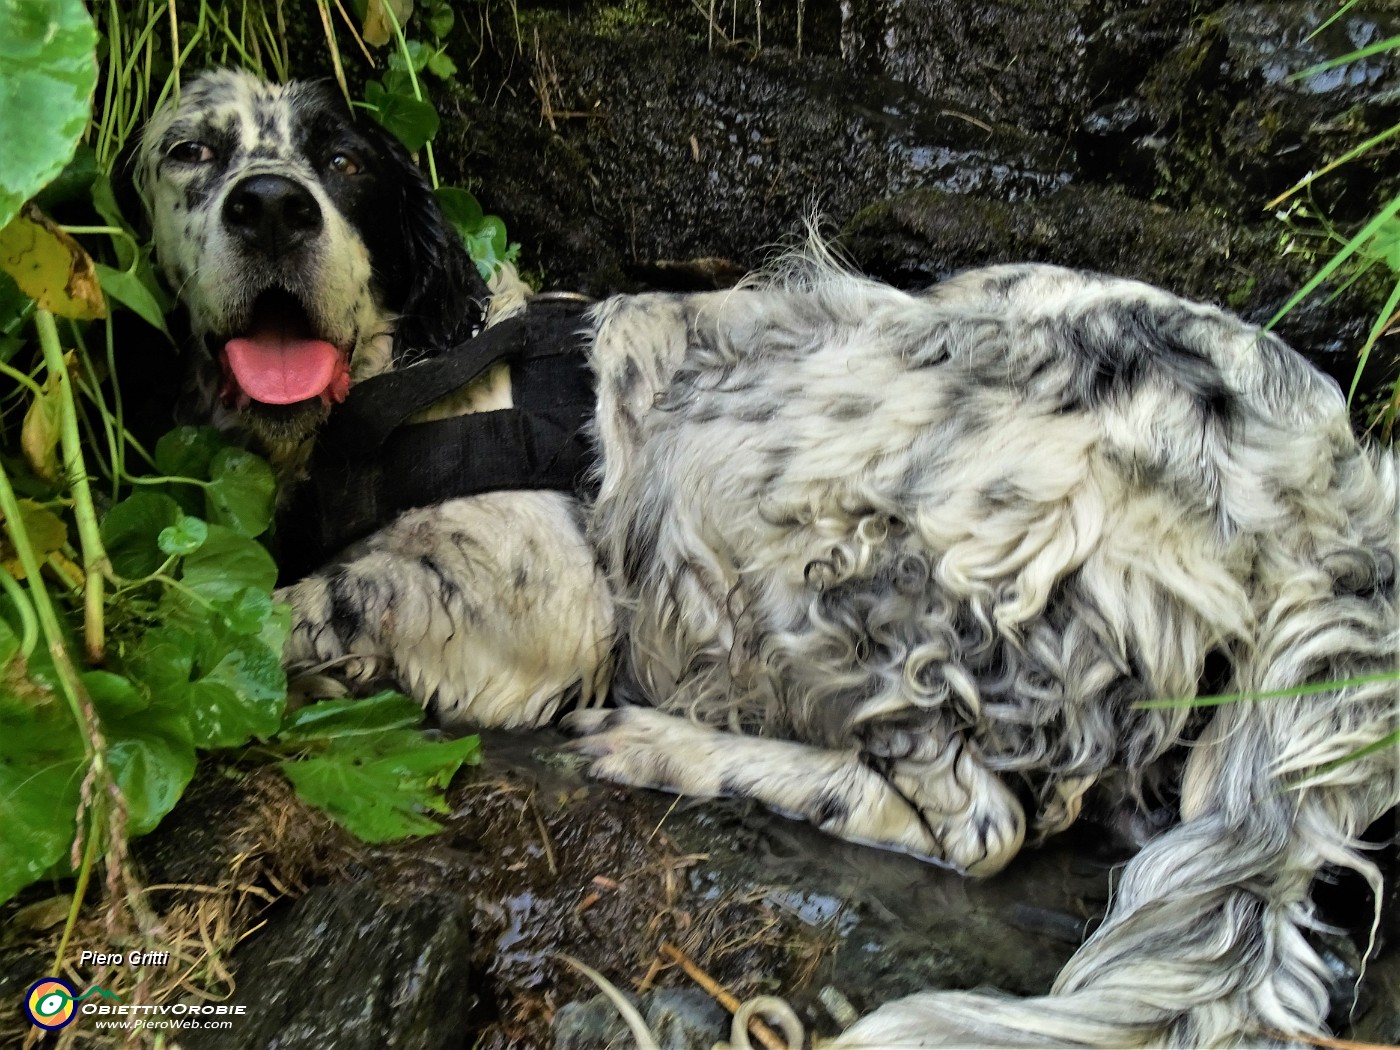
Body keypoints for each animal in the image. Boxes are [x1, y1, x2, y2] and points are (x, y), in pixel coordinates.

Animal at [133, 70, 1400, 1047]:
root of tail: (1318, 483)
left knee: (974, 828)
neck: (409, 384)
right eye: (189, 150)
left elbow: (301, 607)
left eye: (344, 163)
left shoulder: (530, 595)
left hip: (828, 543)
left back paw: (677, 751)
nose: (269, 208)